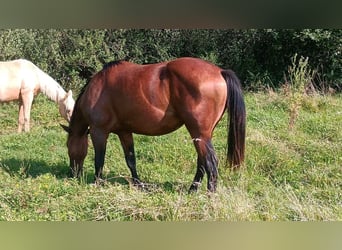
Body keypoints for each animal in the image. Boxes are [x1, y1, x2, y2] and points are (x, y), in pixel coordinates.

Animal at [62, 57, 246, 192]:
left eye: (68, 145)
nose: (72, 173)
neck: (99, 88)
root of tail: (220, 71)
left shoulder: (98, 131)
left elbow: (99, 159)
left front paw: (97, 183)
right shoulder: (124, 131)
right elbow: (131, 159)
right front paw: (138, 184)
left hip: (199, 133)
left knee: (211, 163)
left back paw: (209, 195)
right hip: (203, 135)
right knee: (202, 162)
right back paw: (192, 190)